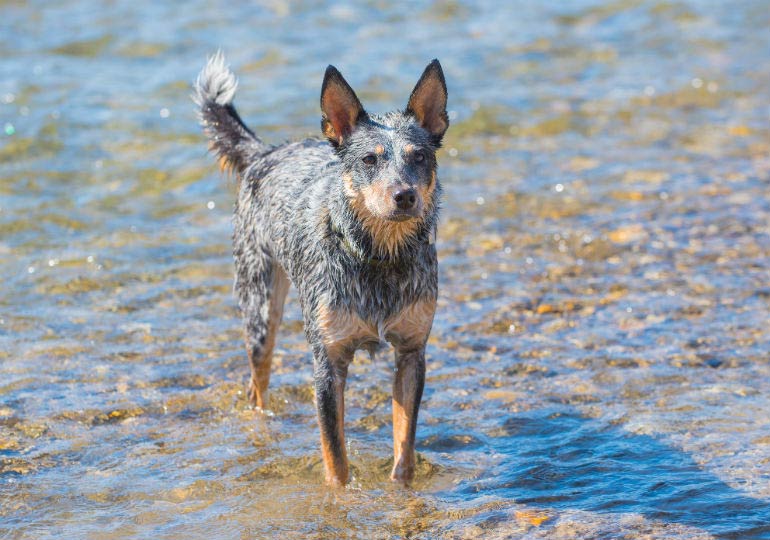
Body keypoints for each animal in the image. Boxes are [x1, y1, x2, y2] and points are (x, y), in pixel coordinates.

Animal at [192, 53, 448, 486]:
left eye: (419, 156)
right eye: (369, 159)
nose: (404, 195)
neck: (378, 259)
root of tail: (265, 152)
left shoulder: (412, 353)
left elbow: (404, 451)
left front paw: (401, 490)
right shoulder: (328, 363)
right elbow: (336, 459)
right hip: (260, 309)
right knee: (256, 386)